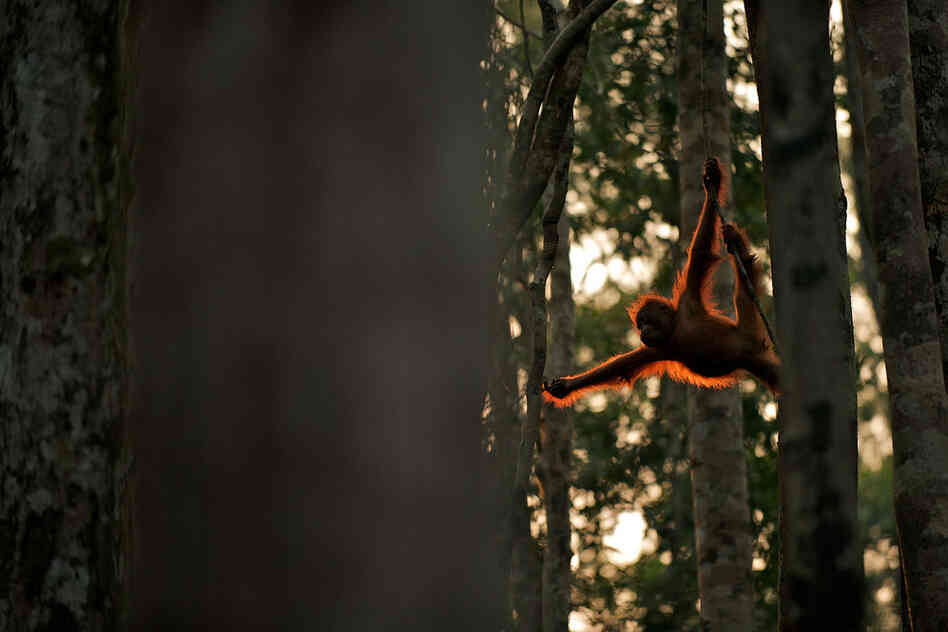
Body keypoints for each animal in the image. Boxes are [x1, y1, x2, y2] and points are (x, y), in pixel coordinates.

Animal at [542, 157, 780, 407]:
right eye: (640, 325)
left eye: (646, 321)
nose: (643, 330)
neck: (676, 330)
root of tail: (756, 345)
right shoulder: (658, 349)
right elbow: (621, 366)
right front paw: (565, 387)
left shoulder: (688, 302)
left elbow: (701, 252)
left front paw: (712, 183)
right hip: (758, 360)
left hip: (750, 331)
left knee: (744, 292)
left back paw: (737, 245)